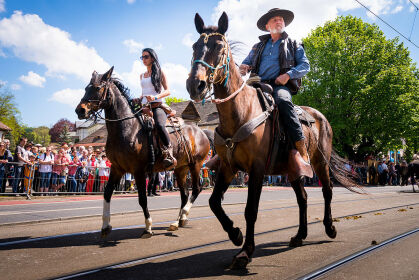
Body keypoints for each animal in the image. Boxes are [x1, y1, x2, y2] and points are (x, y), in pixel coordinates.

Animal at [75, 66, 210, 237]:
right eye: (86, 88)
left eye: (98, 88)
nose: (80, 110)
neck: (127, 129)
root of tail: (202, 132)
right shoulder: (117, 168)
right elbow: (107, 193)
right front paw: (105, 226)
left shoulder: (138, 170)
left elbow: (142, 198)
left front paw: (148, 227)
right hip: (180, 169)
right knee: (184, 194)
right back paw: (177, 222)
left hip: (195, 165)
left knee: (196, 189)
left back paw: (184, 215)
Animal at [185, 12, 362, 270]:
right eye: (195, 46)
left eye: (219, 47)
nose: (194, 85)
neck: (240, 113)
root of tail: (321, 117)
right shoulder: (228, 167)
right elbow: (214, 202)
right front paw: (235, 234)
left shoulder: (257, 169)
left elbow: (251, 210)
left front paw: (245, 252)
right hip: (294, 169)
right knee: (303, 198)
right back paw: (299, 235)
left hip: (321, 162)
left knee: (327, 191)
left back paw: (329, 228)